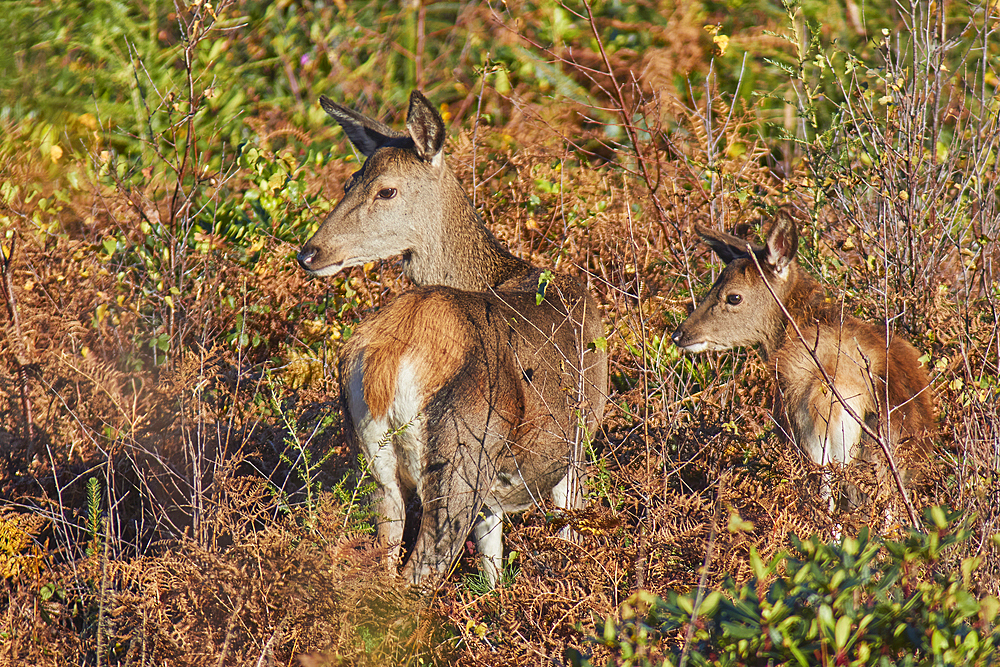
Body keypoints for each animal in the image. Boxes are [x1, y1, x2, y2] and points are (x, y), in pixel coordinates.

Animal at [296, 91, 608, 588]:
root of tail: (390, 356)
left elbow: (492, 566)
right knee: (418, 569)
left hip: (374, 463)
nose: (309, 253)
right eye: (351, 183)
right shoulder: (576, 443)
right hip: (462, 448)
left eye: (381, 188)